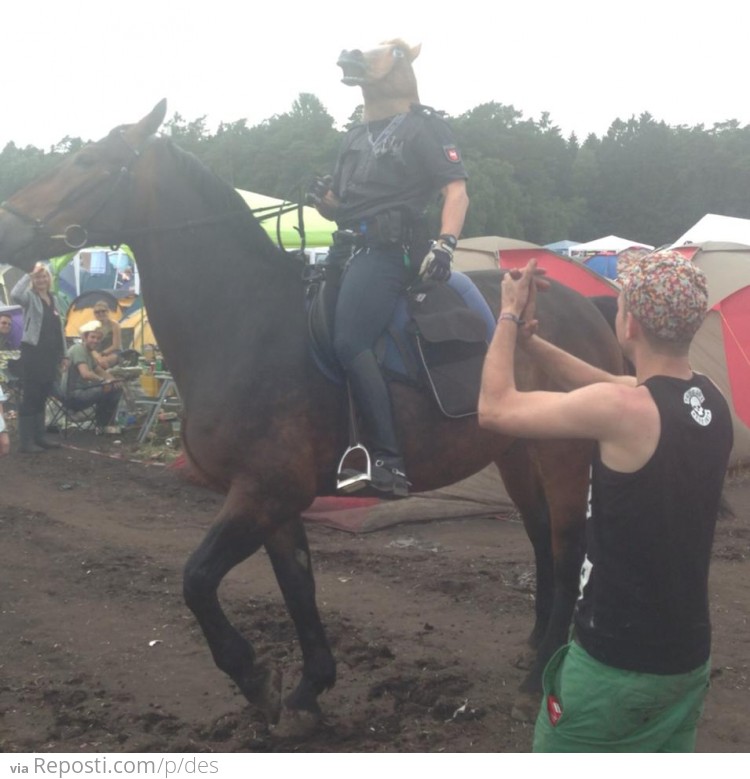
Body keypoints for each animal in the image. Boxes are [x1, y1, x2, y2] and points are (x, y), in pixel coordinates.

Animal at [0, 102, 624, 732]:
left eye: (88, 161)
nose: (9, 229)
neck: (245, 320)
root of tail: (588, 308)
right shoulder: (271, 500)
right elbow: (297, 585)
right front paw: (307, 689)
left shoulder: (265, 490)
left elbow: (196, 579)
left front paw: (255, 676)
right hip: (517, 455)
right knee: (541, 538)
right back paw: (536, 645)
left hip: (563, 457)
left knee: (568, 551)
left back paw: (536, 678)